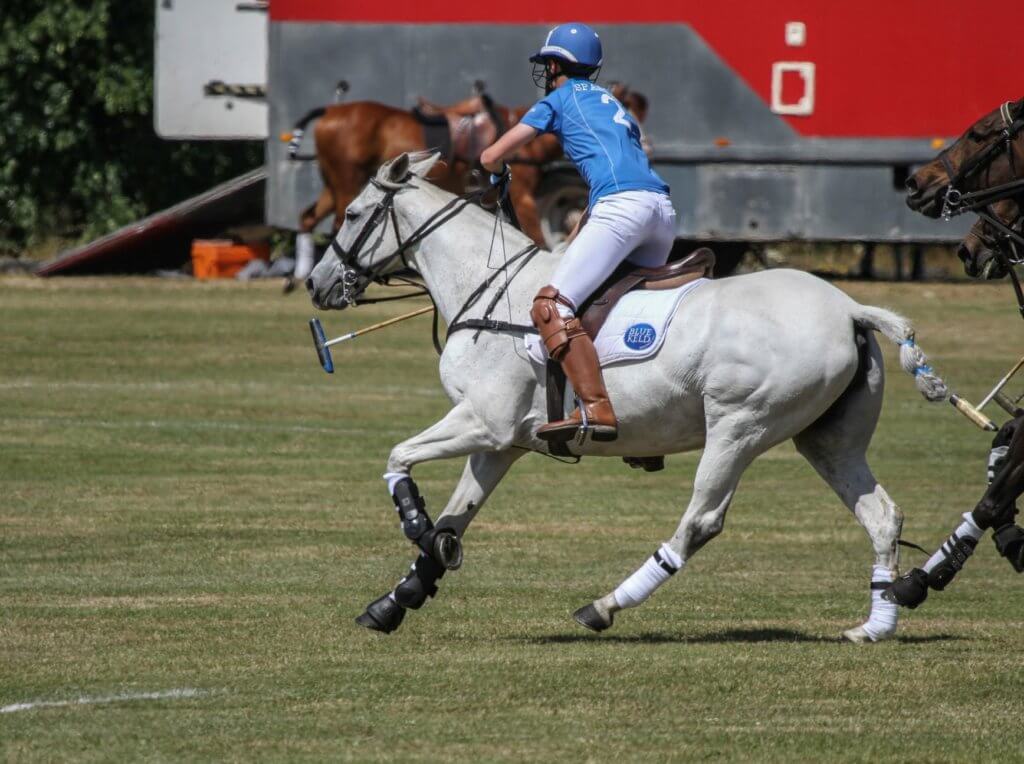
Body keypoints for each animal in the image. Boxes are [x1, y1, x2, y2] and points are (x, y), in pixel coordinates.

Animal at [307, 151, 949, 642]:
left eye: (353, 212)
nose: (317, 283)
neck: (487, 288)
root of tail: (850, 309)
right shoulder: (501, 442)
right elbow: (457, 515)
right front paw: (394, 600)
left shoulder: (485, 422)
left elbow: (398, 459)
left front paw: (417, 525)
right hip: (828, 439)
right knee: (881, 515)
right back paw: (875, 626)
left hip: (739, 427)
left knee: (701, 521)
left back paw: (604, 605)